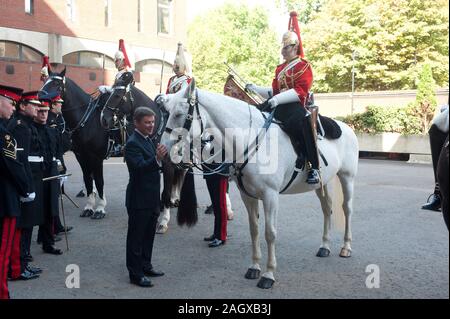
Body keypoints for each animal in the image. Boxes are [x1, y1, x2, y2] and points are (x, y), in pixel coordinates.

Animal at [158, 80, 358, 290]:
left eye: (179, 114)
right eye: (167, 112)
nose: (162, 149)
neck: (250, 140)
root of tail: (346, 127)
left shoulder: (270, 196)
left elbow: (269, 233)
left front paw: (269, 274)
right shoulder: (248, 195)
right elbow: (254, 230)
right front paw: (254, 267)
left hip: (347, 177)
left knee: (347, 209)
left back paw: (346, 247)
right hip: (322, 183)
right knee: (327, 209)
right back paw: (324, 246)